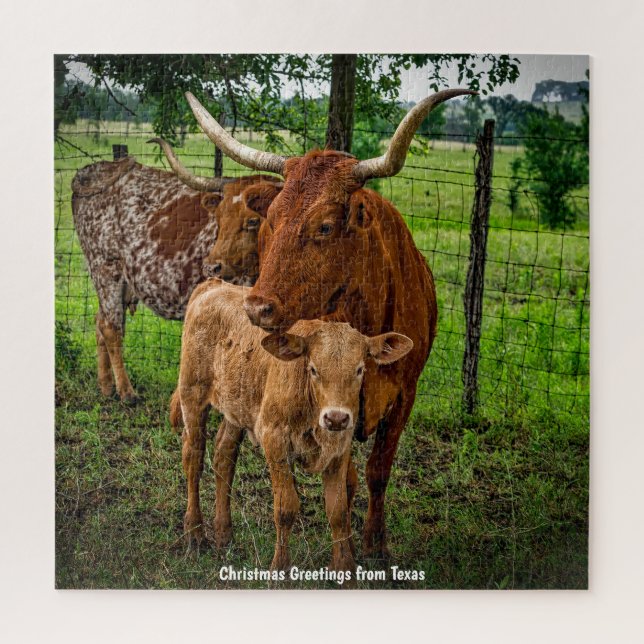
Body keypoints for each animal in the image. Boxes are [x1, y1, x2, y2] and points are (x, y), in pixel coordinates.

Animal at [71, 145, 281, 401]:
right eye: (219, 218)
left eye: (253, 220)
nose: (212, 267)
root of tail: (94, 169)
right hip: (106, 268)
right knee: (111, 327)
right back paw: (126, 391)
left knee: (100, 321)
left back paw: (106, 386)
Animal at [170, 278, 412, 577]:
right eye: (313, 369)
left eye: (359, 369)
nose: (336, 418)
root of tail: (213, 285)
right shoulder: (275, 441)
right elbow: (286, 508)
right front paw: (280, 570)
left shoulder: (339, 450)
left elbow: (338, 511)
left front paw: (345, 569)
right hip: (192, 394)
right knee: (193, 459)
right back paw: (194, 533)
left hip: (237, 408)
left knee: (223, 456)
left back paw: (224, 534)